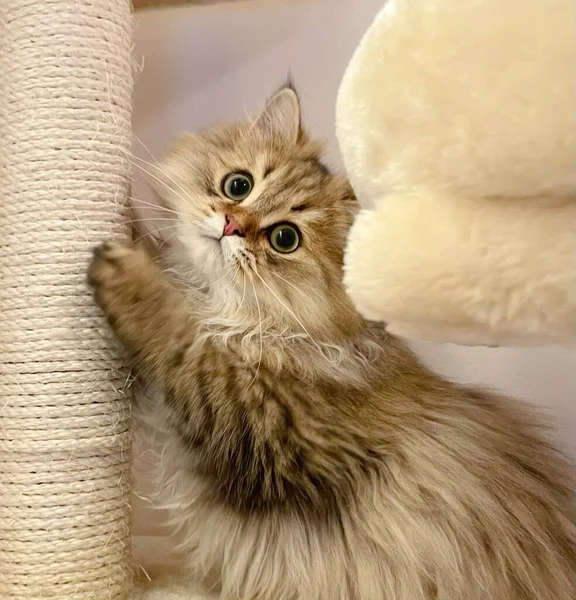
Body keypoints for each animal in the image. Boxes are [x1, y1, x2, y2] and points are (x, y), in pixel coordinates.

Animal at [88, 84, 572, 600]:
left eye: (284, 238)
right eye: (238, 186)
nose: (230, 225)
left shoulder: (266, 430)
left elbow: (183, 345)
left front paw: (129, 274)